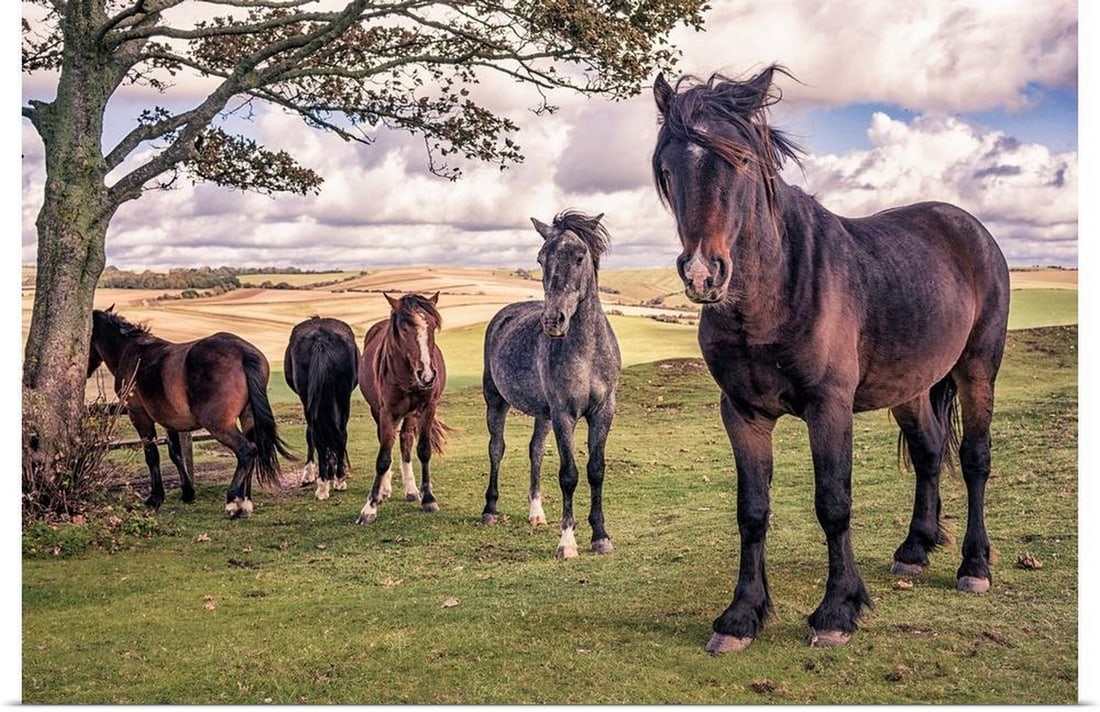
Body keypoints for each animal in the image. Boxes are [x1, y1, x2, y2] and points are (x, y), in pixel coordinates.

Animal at [87, 306, 292, 517]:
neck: (131, 351)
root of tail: (242, 353)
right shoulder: (169, 421)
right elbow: (175, 454)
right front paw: (187, 492)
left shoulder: (139, 415)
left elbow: (152, 455)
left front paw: (155, 498)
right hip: (248, 416)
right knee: (253, 450)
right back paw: (245, 502)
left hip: (219, 425)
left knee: (246, 451)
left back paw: (233, 501)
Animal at [284, 316, 360, 501]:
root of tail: (321, 339)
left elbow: (310, 435)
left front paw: (310, 474)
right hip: (343, 396)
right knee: (340, 434)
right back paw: (336, 480)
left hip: (310, 399)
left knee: (320, 435)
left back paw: (326, 483)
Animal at [355, 292, 449, 524]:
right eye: (405, 329)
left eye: (433, 326)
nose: (427, 375)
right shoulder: (387, 412)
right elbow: (383, 457)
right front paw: (369, 508)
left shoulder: (427, 409)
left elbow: (423, 450)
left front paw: (428, 498)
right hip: (378, 411)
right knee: (385, 443)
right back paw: (384, 490)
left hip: (411, 415)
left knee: (406, 440)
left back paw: (411, 489)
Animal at [481, 210, 622, 559]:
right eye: (541, 259)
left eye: (580, 256)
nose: (552, 321)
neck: (587, 352)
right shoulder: (563, 414)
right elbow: (568, 474)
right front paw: (567, 542)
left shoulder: (603, 411)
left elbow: (596, 470)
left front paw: (600, 535)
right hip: (496, 402)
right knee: (496, 448)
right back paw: (489, 510)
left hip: (542, 414)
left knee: (535, 450)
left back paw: (536, 513)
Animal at [651, 66, 1010, 652]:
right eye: (667, 167)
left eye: (742, 160)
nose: (704, 274)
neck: (775, 292)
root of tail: (967, 226)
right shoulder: (742, 413)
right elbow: (752, 511)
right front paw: (740, 616)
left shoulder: (830, 408)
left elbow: (833, 504)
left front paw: (837, 610)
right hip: (911, 388)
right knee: (930, 453)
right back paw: (915, 549)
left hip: (978, 368)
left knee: (975, 459)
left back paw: (974, 566)